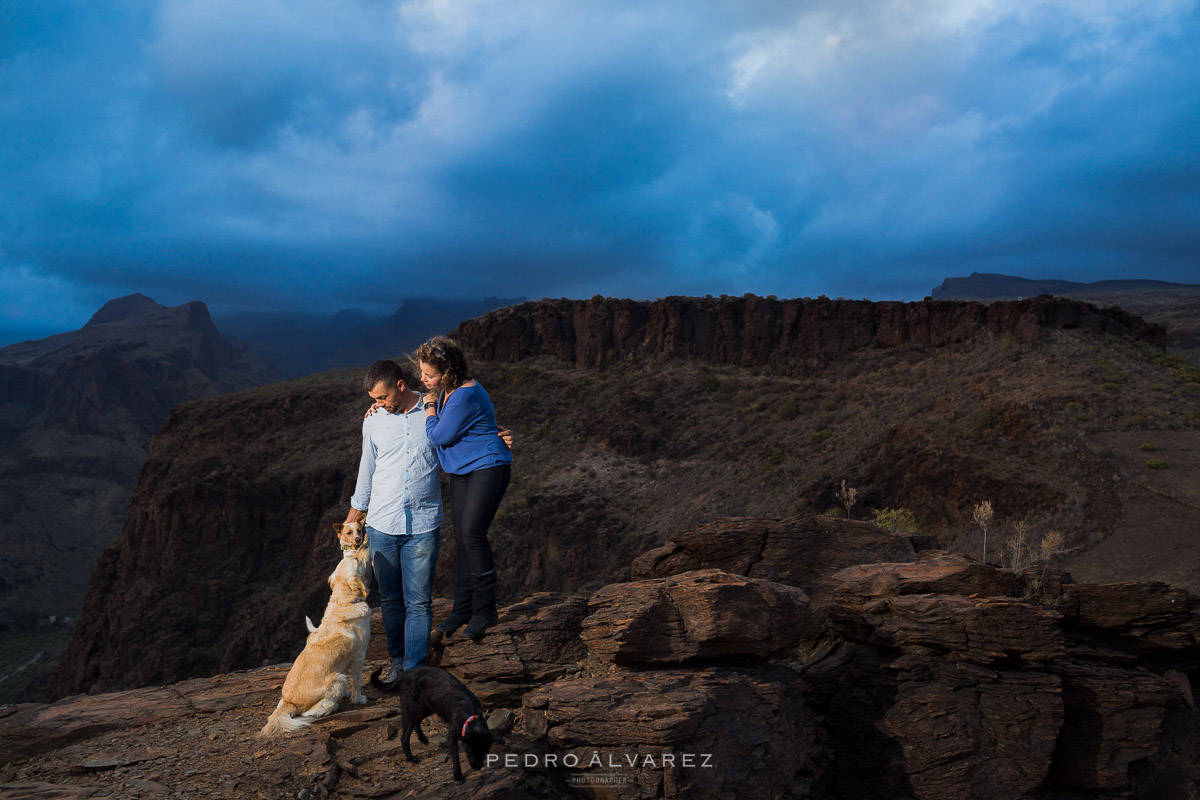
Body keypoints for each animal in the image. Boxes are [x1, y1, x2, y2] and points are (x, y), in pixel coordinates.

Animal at [261, 522, 369, 734]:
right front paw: (359, 699)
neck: (344, 600)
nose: (364, 543)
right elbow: (358, 681)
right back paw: (334, 704)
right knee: (313, 711)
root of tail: (289, 703)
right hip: (338, 678)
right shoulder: (359, 656)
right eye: (356, 560)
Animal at [364, 662, 496, 782]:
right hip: (411, 709)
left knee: (417, 721)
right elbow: (455, 757)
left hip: (429, 707)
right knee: (404, 737)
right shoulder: (452, 736)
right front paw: (457, 775)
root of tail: (405, 674)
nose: (478, 768)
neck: (471, 715)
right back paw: (411, 758)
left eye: (485, 752)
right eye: (472, 750)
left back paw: (422, 738)